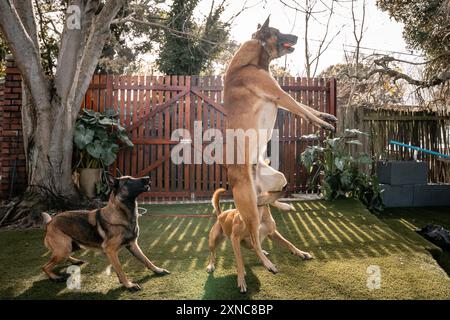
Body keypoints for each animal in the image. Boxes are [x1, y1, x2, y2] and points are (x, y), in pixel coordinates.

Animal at [42, 176, 170, 292]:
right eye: (128, 181)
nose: (148, 178)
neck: (123, 214)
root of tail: (50, 222)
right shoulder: (111, 251)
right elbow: (120, 270)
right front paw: (129, 285)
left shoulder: (133, 245)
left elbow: (146, 260)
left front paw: (158, 270)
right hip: (64, 248)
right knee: (45, 266)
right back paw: (55, 277)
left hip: (72, 246)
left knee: (62, 257)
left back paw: (75, 261)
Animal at [223, 16, 336, 278]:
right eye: (278, 31)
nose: (295, 37)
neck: (255, 57)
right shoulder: (279, 94)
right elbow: (304, 110)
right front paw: (324, 124)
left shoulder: (280, 96)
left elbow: (308, 108)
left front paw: (326, 116)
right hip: (250, 209)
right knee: (254, 239)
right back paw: (267, 263)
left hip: (277, 178)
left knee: (272, 196)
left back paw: (281, 204)